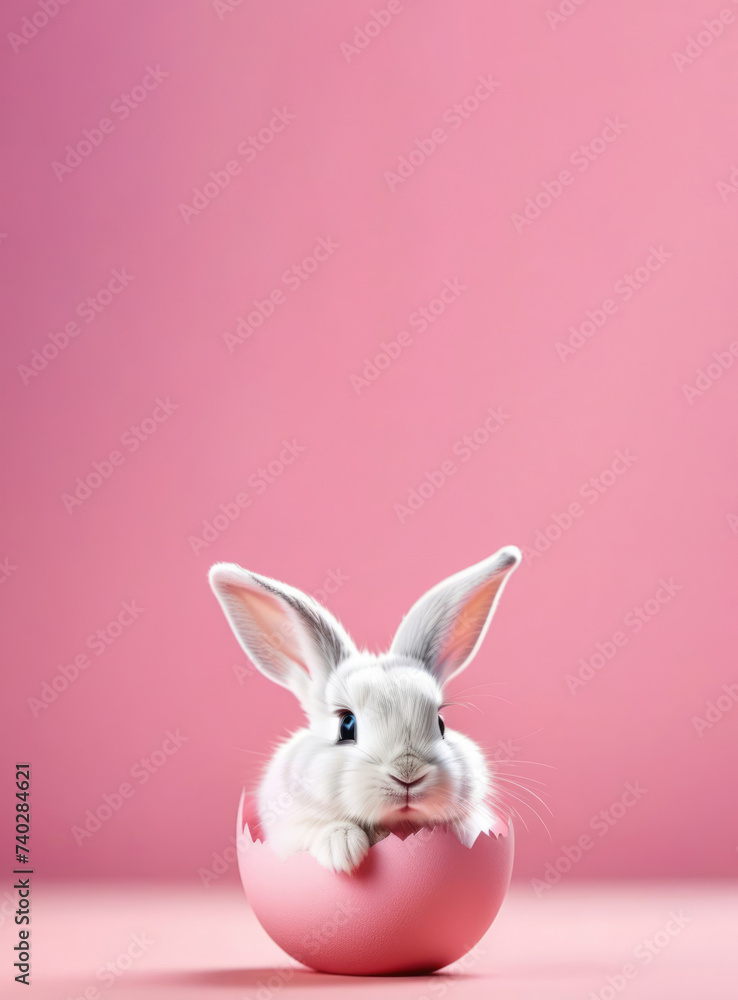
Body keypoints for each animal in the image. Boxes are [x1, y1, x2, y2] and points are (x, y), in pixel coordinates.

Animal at [208, 545, 521, 874]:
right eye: (346, 725)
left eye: (441, 723)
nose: (407, 774)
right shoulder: (289, 829)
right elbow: (319, 829)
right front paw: (344, 849)